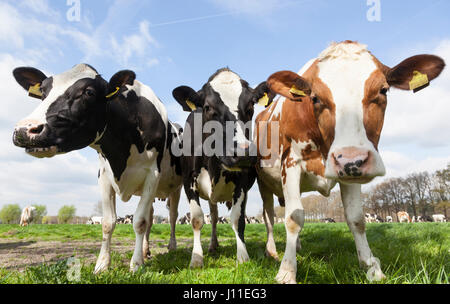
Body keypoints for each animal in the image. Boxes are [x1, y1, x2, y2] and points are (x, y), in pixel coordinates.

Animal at [13, 63, 184, 272]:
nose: (24, 130)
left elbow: (139, 221)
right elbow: (108, 223)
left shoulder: (152, 174)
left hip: (175, 187)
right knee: (151, 218)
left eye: (88, 92)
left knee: (173, 216)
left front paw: (135, 265)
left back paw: (171, 246)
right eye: (43, 92)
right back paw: (145, 251)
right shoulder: (104, 176)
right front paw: (102, 265)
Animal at [171, 67, 270, 268]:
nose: (242, 153)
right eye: (208, 107)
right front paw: (196, 259)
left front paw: (243, 256)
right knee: (214, 216)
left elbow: (237, 220)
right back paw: (212, 245)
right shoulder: (188, 181)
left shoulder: (242, 184)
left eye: (251, 106)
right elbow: (197, 219)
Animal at [255, 39, 444, 282]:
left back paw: (296, 247)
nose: (351, 159)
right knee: (269, 217)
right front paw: (287, 271)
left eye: (383, 90)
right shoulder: (291, 163)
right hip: (264, 183)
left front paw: (371, 266)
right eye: (315, 97)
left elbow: (356, 219)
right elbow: (293, 218)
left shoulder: (351, 173)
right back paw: (272, 252)